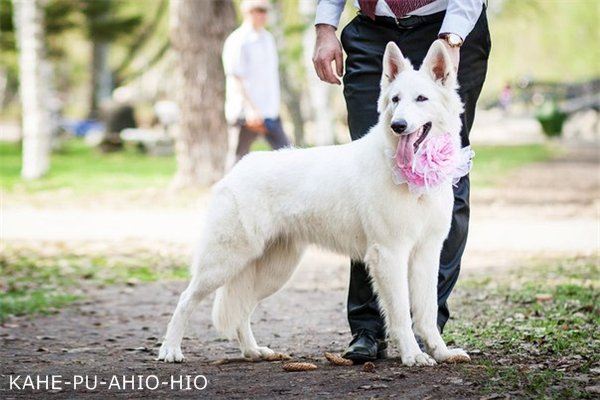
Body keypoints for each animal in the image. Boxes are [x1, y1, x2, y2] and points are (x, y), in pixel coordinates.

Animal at [159, 39, 474, 366]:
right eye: (396, 100)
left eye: (421, 98)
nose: (398, 125)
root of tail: (237, 169)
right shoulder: (390, 254)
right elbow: (400, 313)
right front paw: (413, 354)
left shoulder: (427, 253)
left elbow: (426, 311)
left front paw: (441, 351)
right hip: (225, 261)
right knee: (186, 299)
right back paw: (171, 350)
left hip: (272, 271)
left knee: (242, 308)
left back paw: (253, 351)